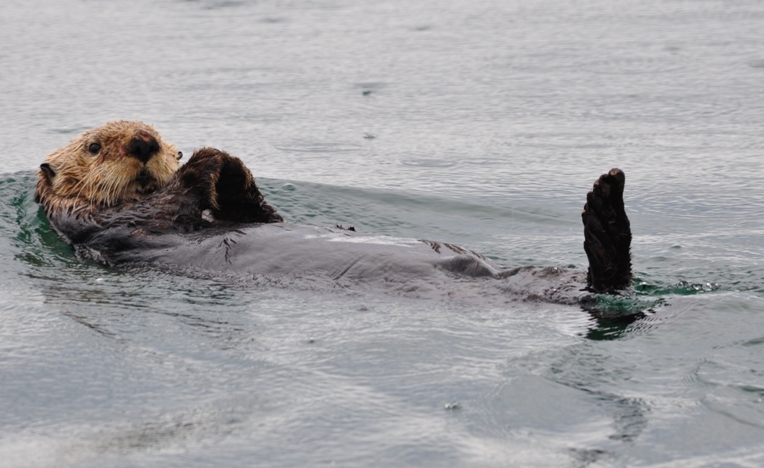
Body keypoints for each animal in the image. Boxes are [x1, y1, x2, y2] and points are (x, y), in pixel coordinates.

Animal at [35, 121, 632, 304]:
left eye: (155, 134)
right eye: (94, 147)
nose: (144, 142)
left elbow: (260, 216)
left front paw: (232, 170)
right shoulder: (111, 228)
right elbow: (164, 210)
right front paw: (208, 160)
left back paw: (607, 206)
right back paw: (604, 211)